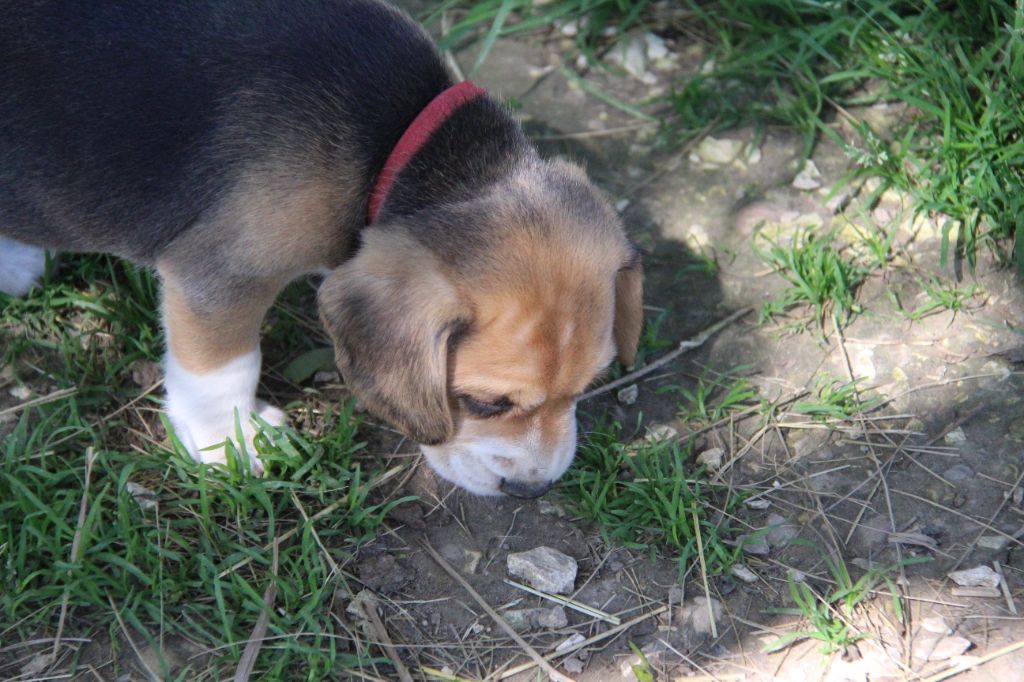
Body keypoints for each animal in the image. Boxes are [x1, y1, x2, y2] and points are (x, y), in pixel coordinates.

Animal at [0, 0, 638, 493]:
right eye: (485, 405)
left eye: (590, 387)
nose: (533, 491)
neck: (396, 138)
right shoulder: (224, 272)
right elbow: (223, 366)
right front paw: (228, 442)